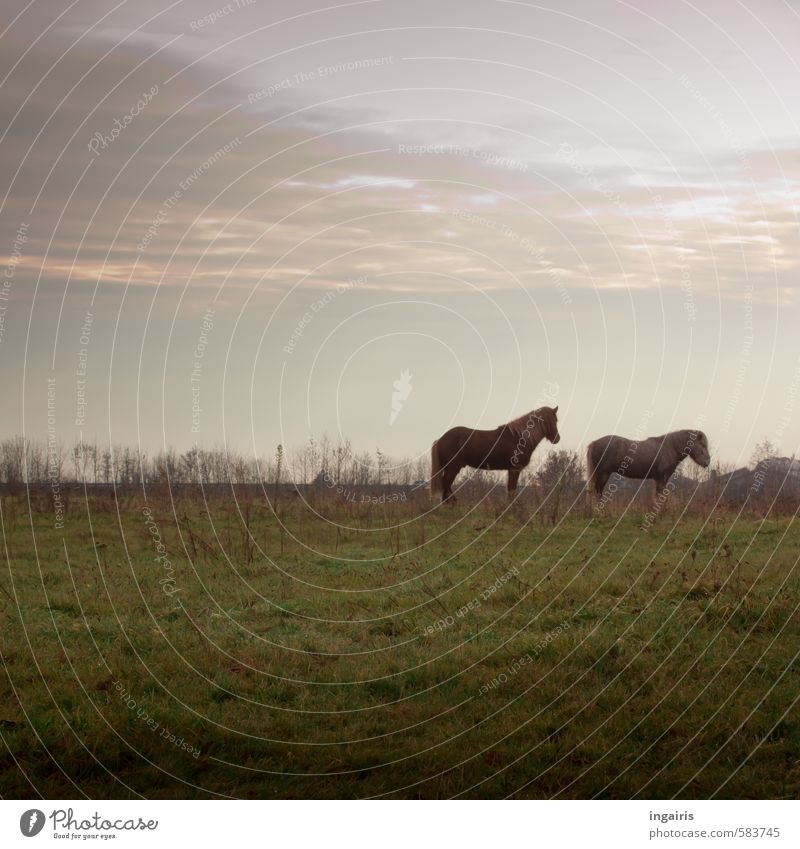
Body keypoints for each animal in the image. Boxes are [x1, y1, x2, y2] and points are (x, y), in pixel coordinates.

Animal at [432, 406, 564, 504]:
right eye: (554, 420)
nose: (557, 439)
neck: (519, 438)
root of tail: (440, 439)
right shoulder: (515, 469)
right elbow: (511, 490)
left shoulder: (512, 470)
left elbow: (511, 490)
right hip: (453, 468)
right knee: (445, 485)